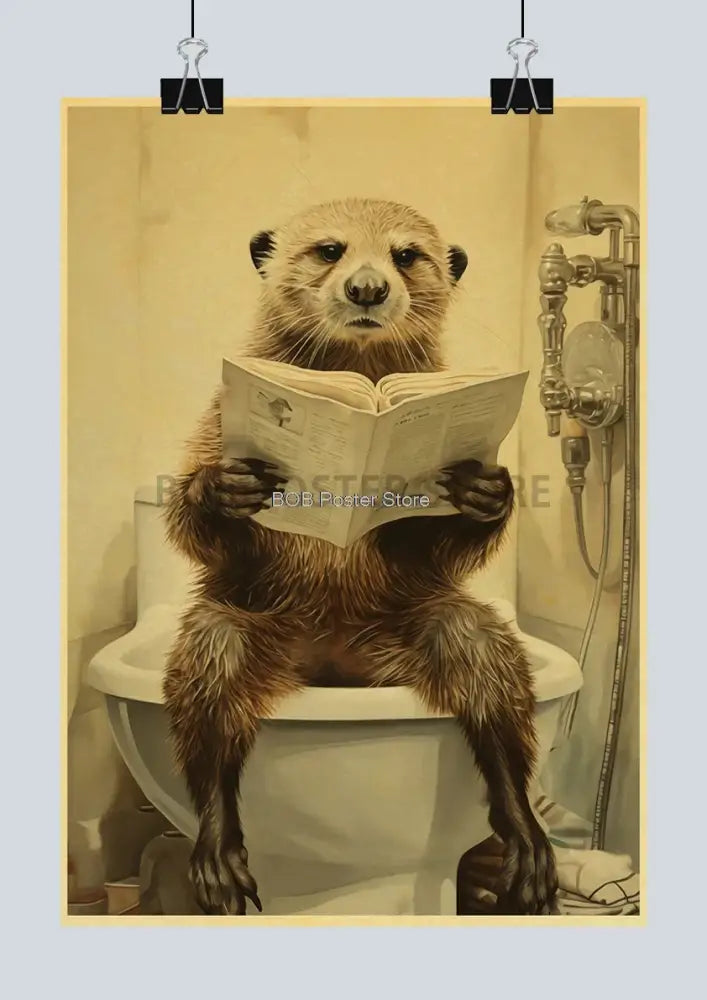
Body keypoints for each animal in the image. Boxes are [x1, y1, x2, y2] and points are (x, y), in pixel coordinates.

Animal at [163, 198, 558, 916]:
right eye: (329, 248)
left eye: (406, 253)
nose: (367, 288)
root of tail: (332, 659)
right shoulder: (216, 416)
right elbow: (190, 519)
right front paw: (227, 487)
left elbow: (429, 540)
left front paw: (481, 490)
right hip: (255, 623)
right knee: (211, 676)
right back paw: (217, 850)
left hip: (409, 624)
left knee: (484, 660)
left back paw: (522, 837)